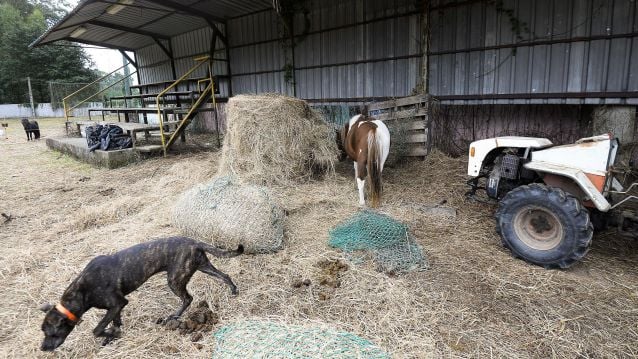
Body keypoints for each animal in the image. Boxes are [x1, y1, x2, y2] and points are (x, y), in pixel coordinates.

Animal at [40, 238, 244, 352]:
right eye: (43, 331)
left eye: (50, 333)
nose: (42, 348)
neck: (82, 290)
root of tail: (195, 242)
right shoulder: (116, 307)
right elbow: (115, 322)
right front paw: (112, 335)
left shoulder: (118, 303)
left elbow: (97, 329)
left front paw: (109, 334)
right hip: (203, 266)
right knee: (224, 275)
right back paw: (233, 290)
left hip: (175, 279)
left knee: (188, 298)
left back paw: (174, 316)